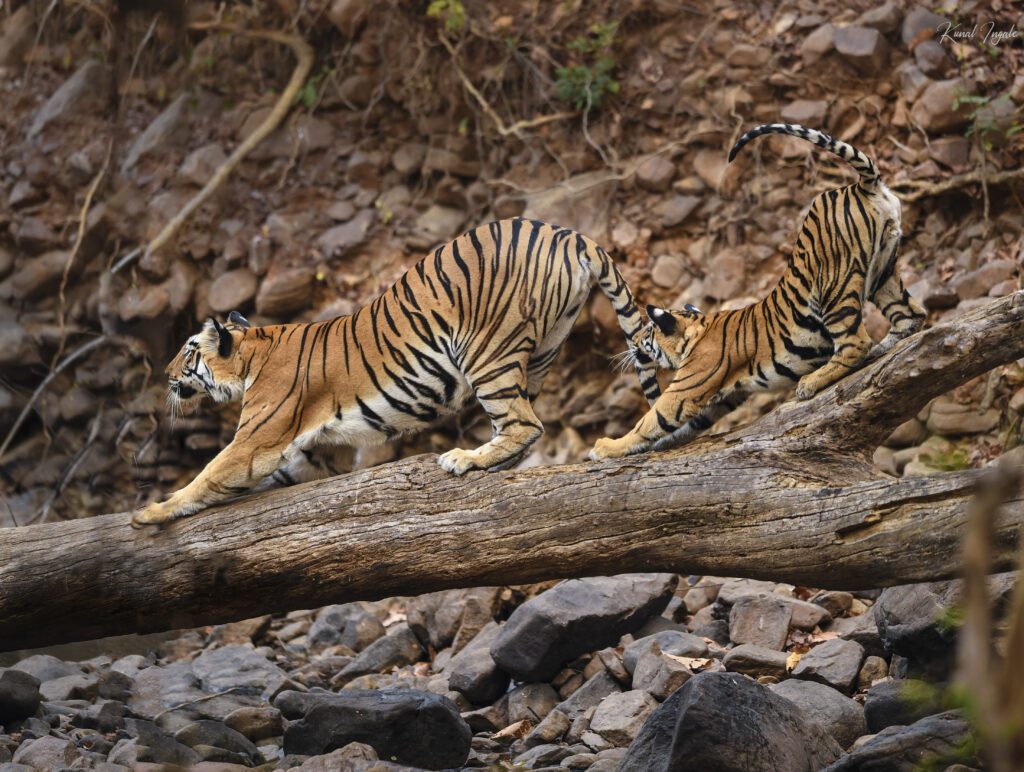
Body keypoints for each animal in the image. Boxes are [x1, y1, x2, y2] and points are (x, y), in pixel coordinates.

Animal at [130, 219, 655, 528]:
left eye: (187, 351)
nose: (165, 373)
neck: (254, 352)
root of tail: (566, 232)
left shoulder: (256, 441)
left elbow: (210, 472)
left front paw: (151, 511)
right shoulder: (315, 452)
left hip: (486, 351)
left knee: (525, 424)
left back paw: (466, 459)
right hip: (541, 351)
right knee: (527, 422)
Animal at [589, 120, 925, 456]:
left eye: (647, 332)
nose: (632, 345)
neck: (694, 332)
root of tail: (857, 186)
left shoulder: (687, 387)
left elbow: (651, 419)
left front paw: (606, 447)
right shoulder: (719, 397)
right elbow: (678, 428)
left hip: (834, 284)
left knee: (856, 342)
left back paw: (811, 383)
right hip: (884, 271)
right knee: (912, 315)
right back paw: (882, 349)